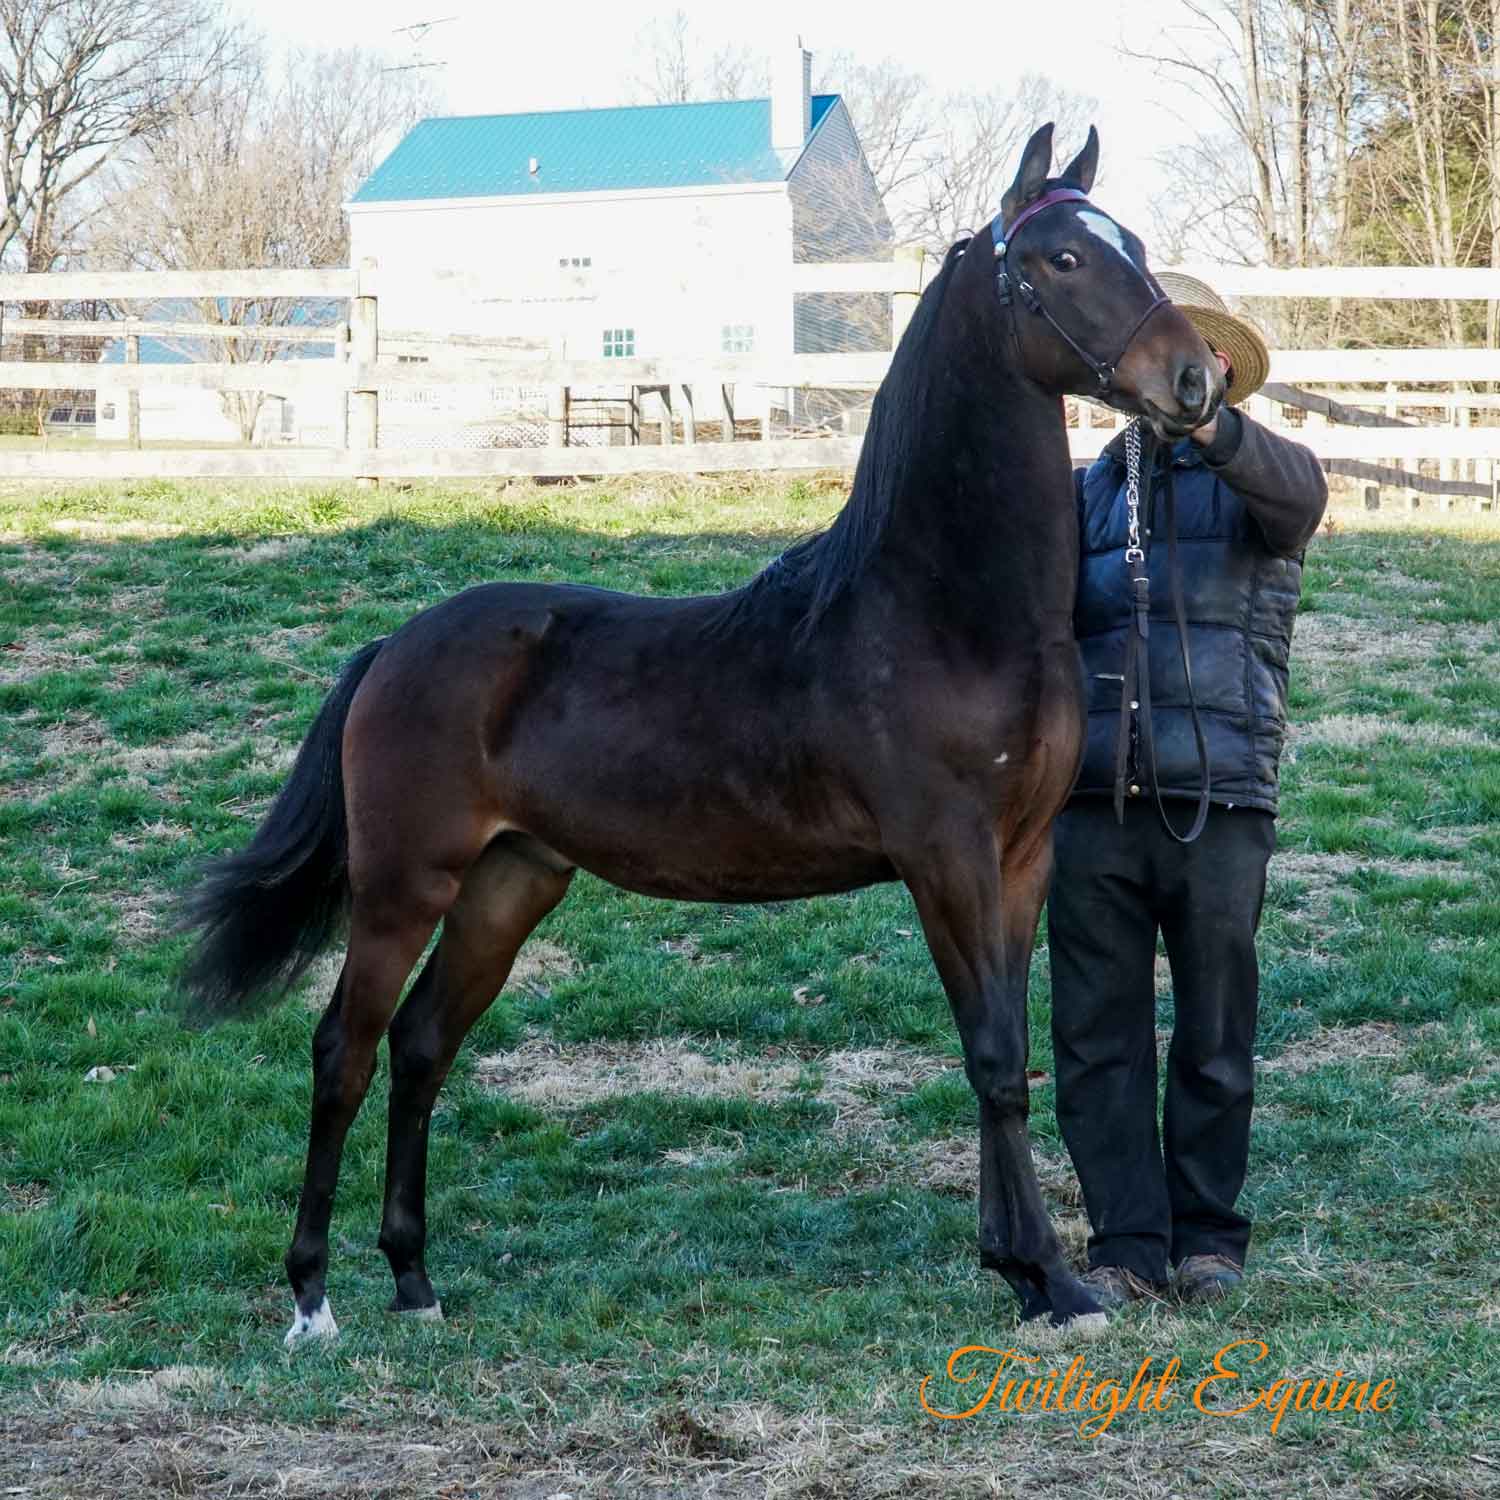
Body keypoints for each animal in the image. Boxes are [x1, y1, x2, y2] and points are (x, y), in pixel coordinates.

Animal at [178, 122, 1222, 1343]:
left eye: (1131, 243)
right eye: (1063, 258)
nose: (1195, 380)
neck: (939, 608)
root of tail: (394, 647)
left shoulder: (1021, 859)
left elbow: (1003, 1050)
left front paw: (1020, 1267)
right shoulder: (947, 860)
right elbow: (996, 1055)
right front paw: (1047, 1279)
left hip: (508, 884)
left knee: (423, 1043)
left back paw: (416, 1281)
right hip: (404, 884)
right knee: (344, 1048)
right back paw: (313, 1298)